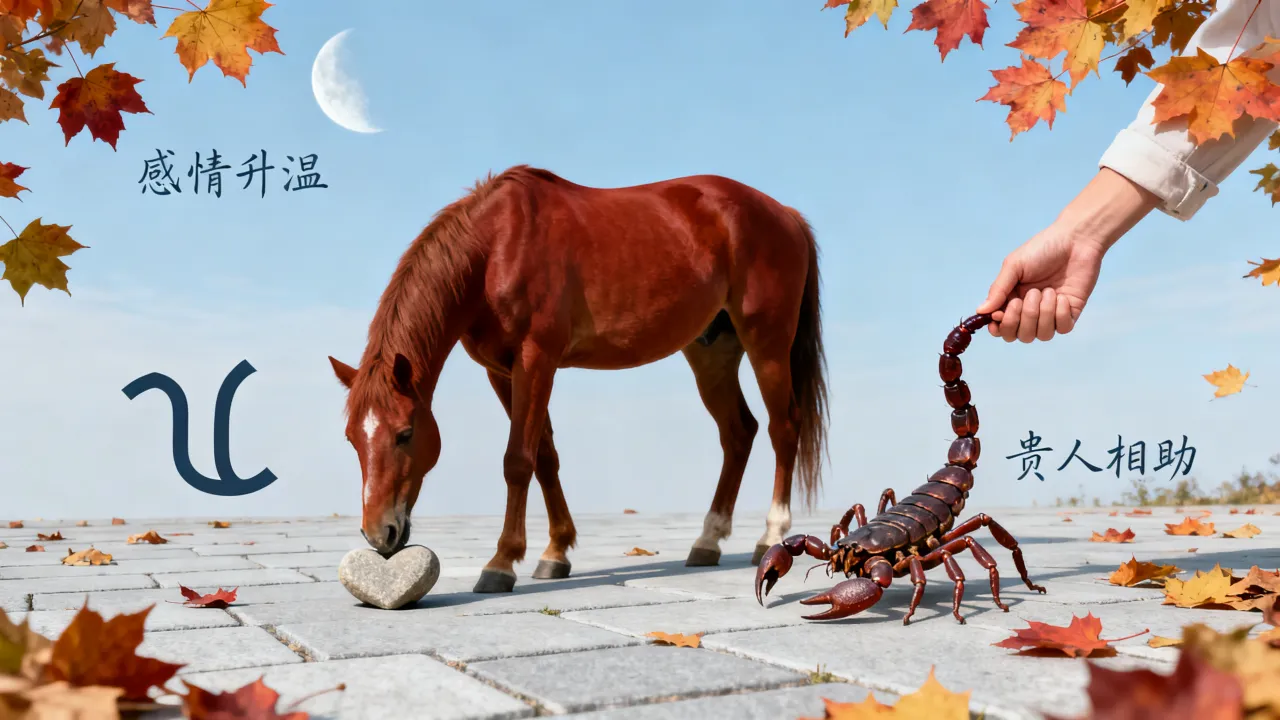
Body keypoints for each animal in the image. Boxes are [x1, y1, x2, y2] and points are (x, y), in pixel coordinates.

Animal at [328, 165, 829, 593]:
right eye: (351, 439)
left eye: (405, 433)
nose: (380, 534)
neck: (496, 247)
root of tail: (785, 214)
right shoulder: (501, 370)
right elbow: (544, 457)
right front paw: (555, 553)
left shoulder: (536, 359)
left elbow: (518, 460)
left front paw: (501, 563)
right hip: (712, 352)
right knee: (738, 432)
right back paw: (707, 540)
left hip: (767, 343)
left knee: (783, 428)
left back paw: (770, 537)